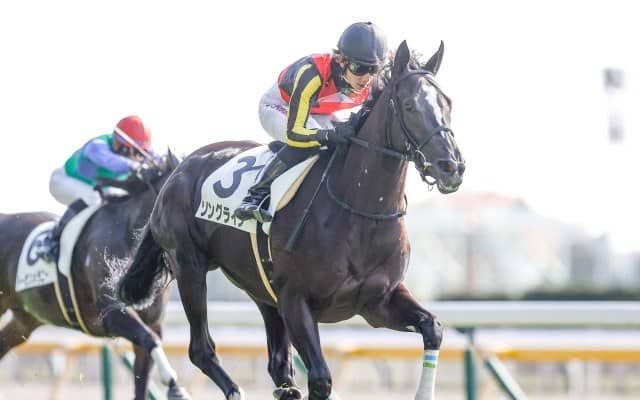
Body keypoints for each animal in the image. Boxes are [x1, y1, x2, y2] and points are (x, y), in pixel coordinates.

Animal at [0, 151, 190, 400]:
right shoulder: (109, 313)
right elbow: (151, 339)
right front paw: (175, 385)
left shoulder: (151, 321)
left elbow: (144, 369)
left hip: (25, 319)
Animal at [117, 40, 465, 400]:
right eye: (409, 106)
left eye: (448, 104)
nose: (451, 167)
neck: (360, 215)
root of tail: (178, 171)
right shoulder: (295, 300)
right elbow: (321, 379)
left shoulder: (377, 302)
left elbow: (433, 328)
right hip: (190, 268)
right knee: (202, 349)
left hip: (260, 288)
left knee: (279, 367)